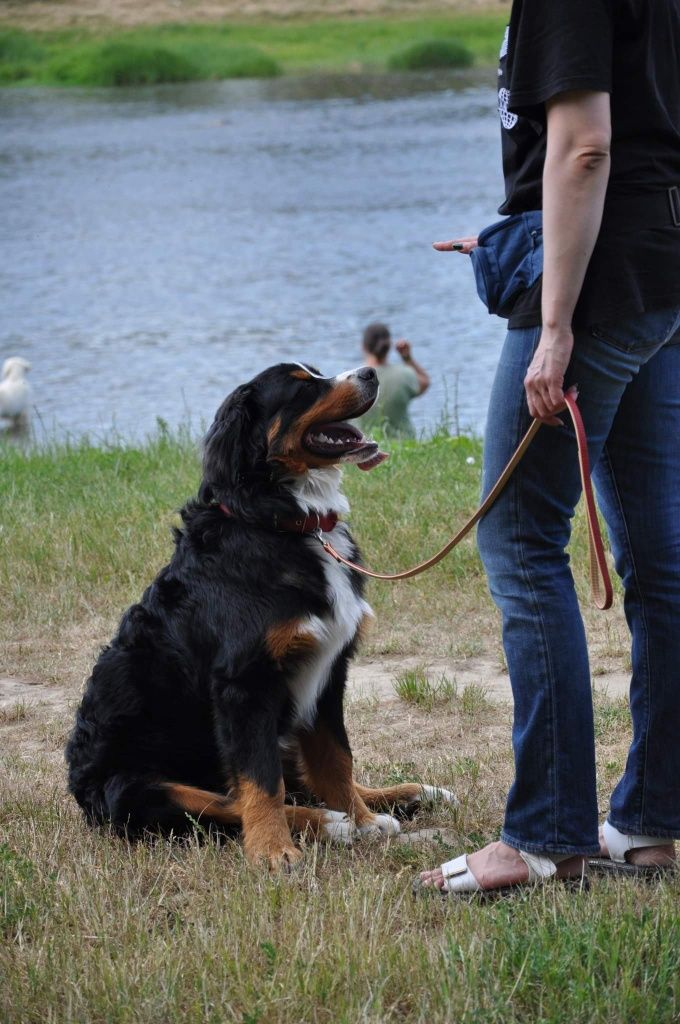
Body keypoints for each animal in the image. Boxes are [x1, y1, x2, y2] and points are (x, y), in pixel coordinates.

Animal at [65, 364, 456, 868]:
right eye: (303, 385)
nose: (370, 372)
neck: (285, 521)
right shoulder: (244, 685)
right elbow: (261, 782)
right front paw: (275, 851)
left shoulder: (328, 673)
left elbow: (337, 761)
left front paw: (365, 820)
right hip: (137, 787)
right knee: (227, 802)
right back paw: (326, 823)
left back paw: (406, 796)